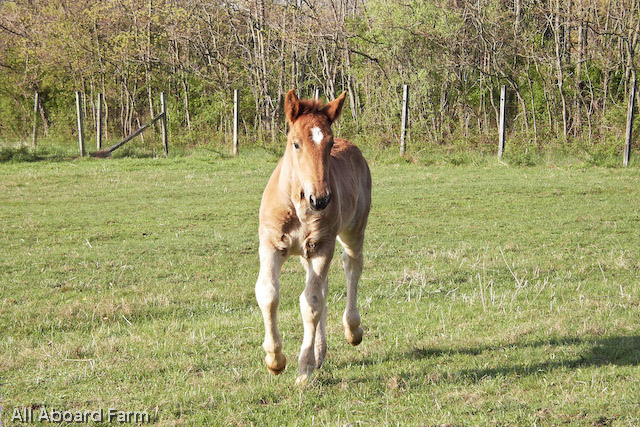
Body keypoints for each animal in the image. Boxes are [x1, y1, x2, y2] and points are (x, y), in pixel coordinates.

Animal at [255, 89, 372, 385]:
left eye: (329, 145)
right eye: (295, 144)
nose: (320, 199)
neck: (297, 206)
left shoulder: (321, 246)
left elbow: (311, 303)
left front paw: (304, 369)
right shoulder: (272, 244)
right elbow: (268, 293)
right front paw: (275, 360)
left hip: (352, 231)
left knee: (352, 266)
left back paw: (353, 330)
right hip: (307, 254)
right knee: (325, 285)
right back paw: (320, 353)